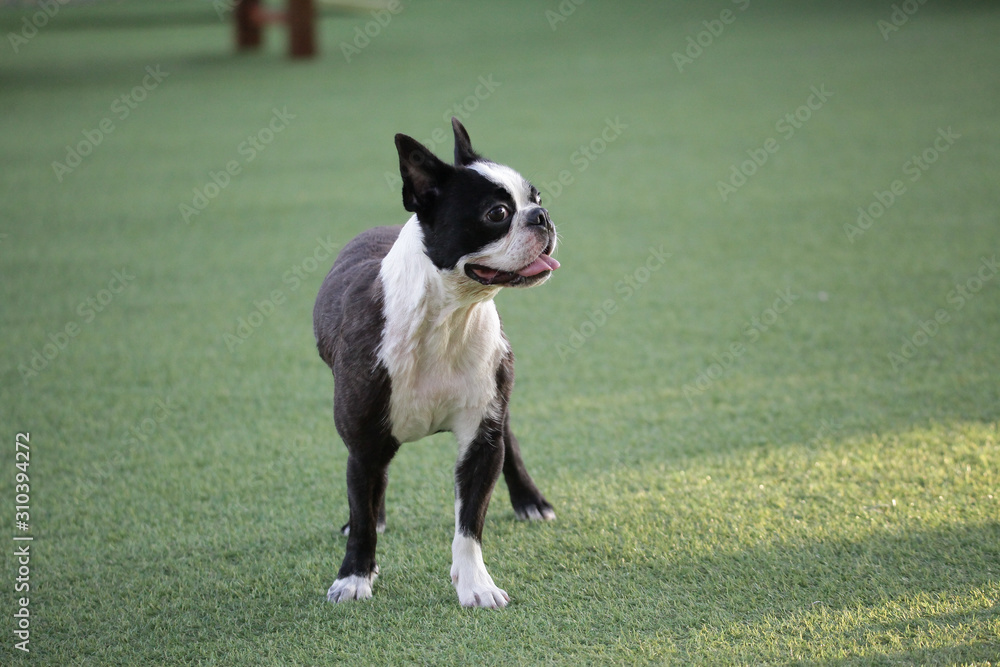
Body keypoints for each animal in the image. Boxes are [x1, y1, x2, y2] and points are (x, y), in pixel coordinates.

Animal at [314, 117, 560, 608]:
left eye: (537, 199)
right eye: (497, 214)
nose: (541, 217)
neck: (448, 318)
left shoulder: (481, 440)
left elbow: (469, 523)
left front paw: (476, 585)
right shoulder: (363, 441)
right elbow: (363, 512)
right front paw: (354, 577)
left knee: (510, 440)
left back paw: (530, 500)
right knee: (372, 487)